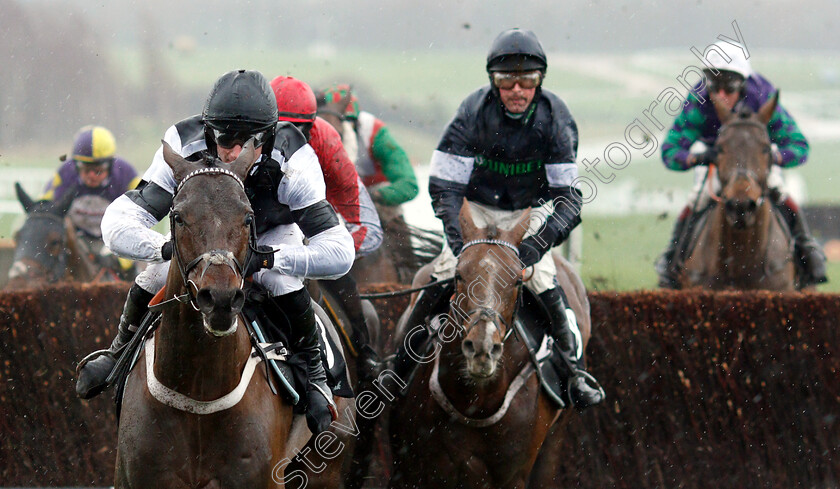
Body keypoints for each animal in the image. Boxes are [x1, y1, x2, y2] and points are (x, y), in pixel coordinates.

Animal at [386, 203, 588, 488]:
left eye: (517, 280)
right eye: (459, 275)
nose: (482, 348)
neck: (476, 401)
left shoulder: (513, 475)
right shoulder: (410, 468)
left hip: (553, 442)